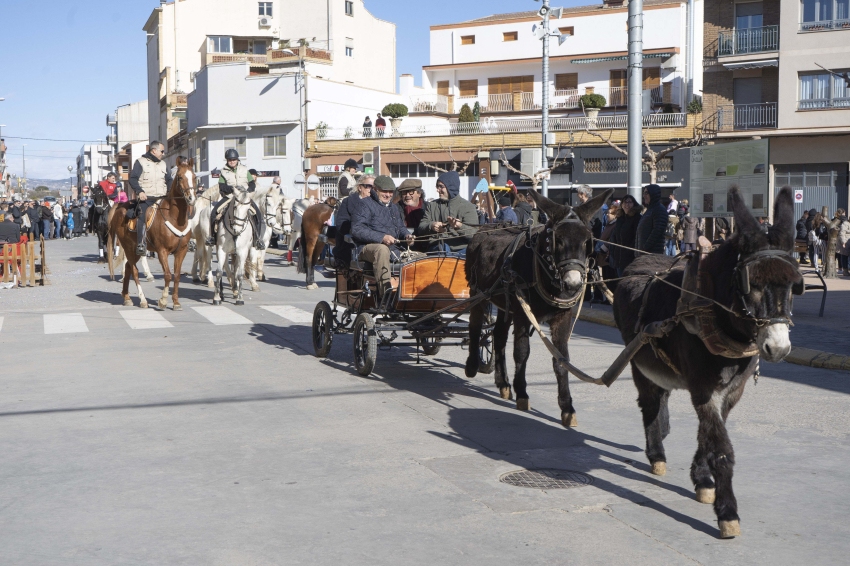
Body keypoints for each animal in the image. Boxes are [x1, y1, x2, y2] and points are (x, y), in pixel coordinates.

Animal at [106, 158, 197, 310]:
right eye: (180, 177)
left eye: (194, 177)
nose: (191, 198)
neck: (174, 217)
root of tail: (120, 207)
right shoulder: (162, 251)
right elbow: (167, 275)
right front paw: (163, 300)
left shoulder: (181, 251)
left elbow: (177, 275)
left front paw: (176, 302)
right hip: (130, 248)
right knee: (134, 271)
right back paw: (142, 300)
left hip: (134, 251)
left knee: (128, 268)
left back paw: (126, 297)